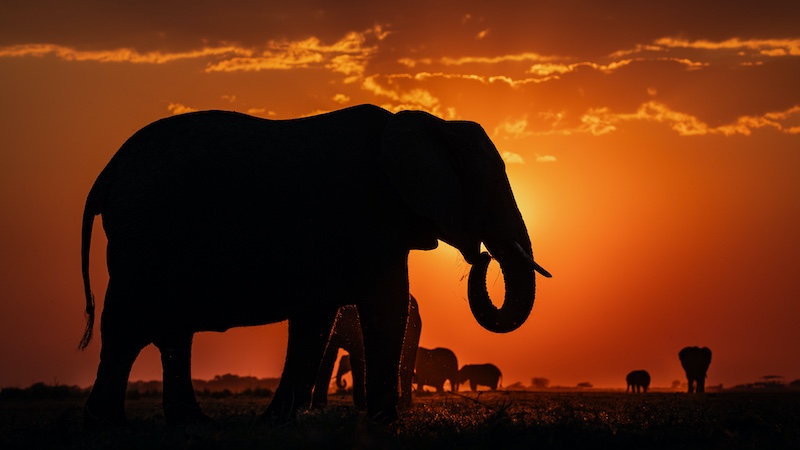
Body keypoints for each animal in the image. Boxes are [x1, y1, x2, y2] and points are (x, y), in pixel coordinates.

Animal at [79, 104, 551, 428]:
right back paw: (111, 428)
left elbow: (316, 321)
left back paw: (192, 425)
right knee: (126, 325)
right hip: (146, 235)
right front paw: (385, 426)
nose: (484, 256)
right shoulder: (370, 216)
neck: (430, 123)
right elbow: (385, 306)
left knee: (170, 333)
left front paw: (275, 423)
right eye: (492, 184)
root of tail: (105, 174)